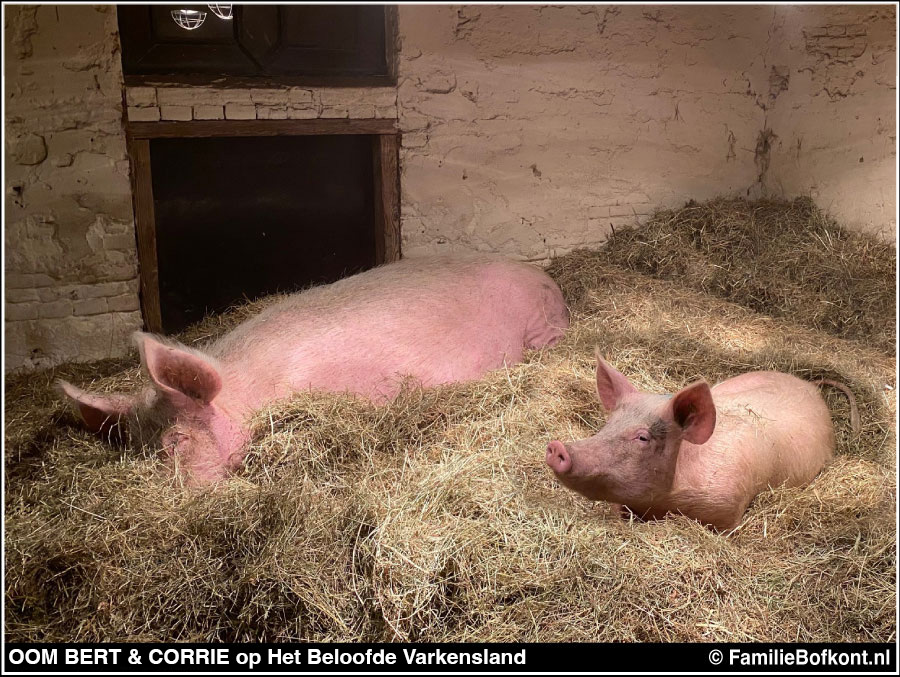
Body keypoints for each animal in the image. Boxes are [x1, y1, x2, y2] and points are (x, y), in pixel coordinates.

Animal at [544, 352, 856, 532]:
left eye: (642, 437)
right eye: (607, 425)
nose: (557, 446)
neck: (663, 504)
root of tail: (810, 386)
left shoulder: (730, 509)